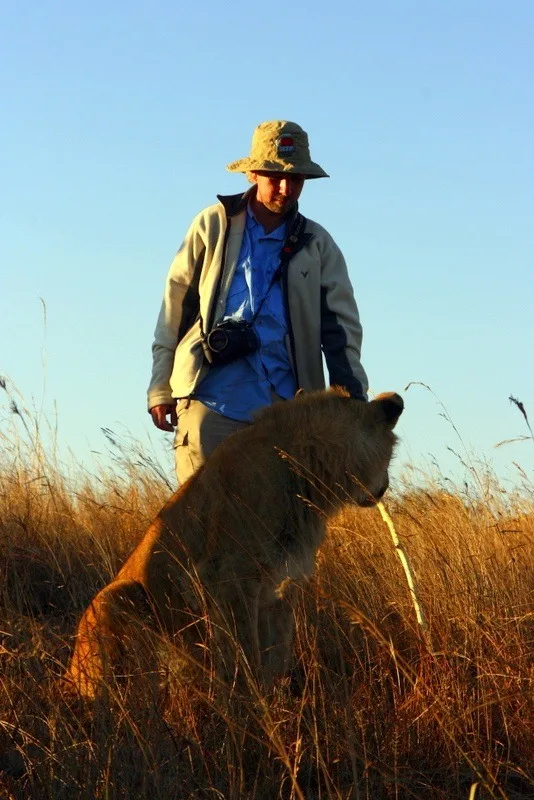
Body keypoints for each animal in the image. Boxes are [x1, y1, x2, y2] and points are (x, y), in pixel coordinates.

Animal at [64, 388, 403, 698]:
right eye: (390, 458)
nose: (384, 489)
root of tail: (69, 676)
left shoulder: (284, 585)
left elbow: (277, 655)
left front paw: (279, 705)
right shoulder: (229, 578)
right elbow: (246, 650)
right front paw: (251, 703)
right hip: (120, 595)